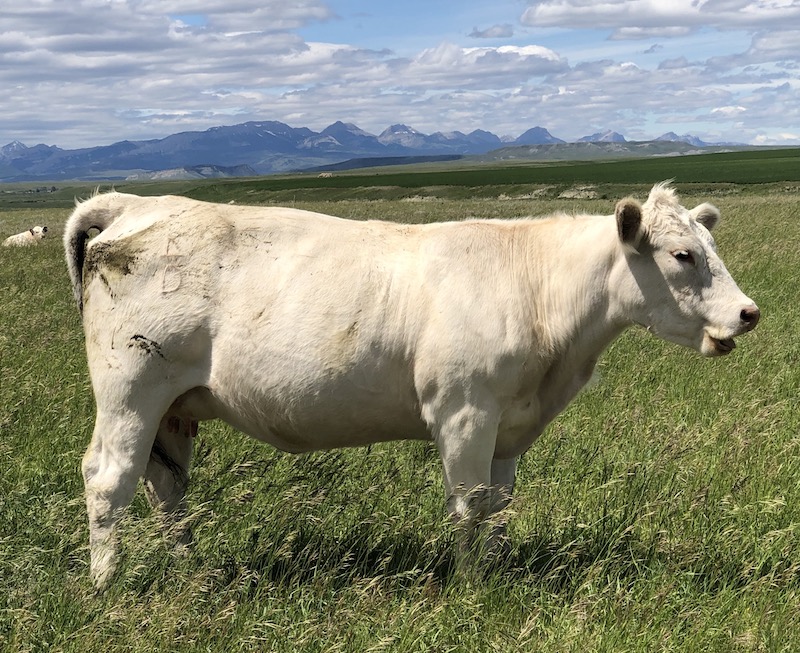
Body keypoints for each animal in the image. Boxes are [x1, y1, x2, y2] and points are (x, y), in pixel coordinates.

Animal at [65, 182, 760, 584]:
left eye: (710, 245)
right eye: (682, 255)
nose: (749, 312)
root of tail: (138, 204)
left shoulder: (508, 424)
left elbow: (497, 505)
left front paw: (497, 572)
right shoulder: (465, 411)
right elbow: (469, 504)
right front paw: (472, 586)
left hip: (173, 410)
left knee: (166, 489)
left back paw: (188, 570)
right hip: (131, 392)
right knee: (109, 482)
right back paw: (107, 586)